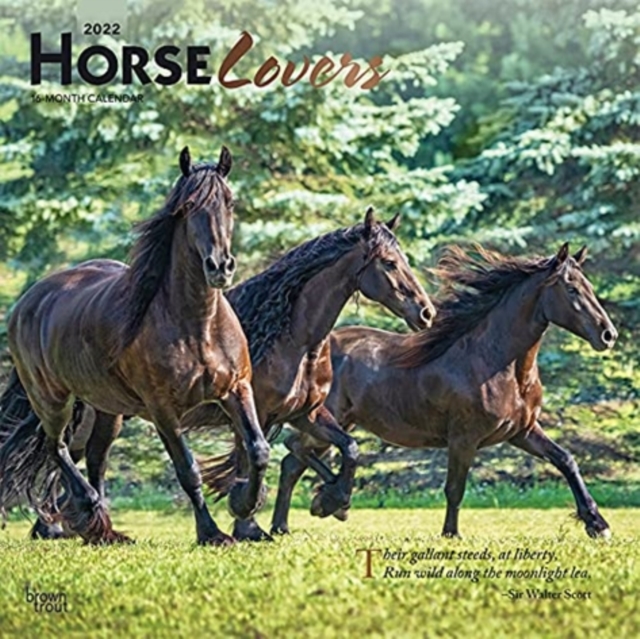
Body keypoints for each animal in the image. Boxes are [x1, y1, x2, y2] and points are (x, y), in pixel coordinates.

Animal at [0, 146, 270, 545]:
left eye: (230, 202)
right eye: (188, 206)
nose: (220, 266)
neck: (198, 325)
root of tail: (28, 302)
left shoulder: (237, 389)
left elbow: (258, 449)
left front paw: (243, 503)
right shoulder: (163, 410)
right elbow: (187, 470)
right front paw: (211, 532)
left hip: (106, 409)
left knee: (95, 458)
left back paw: (104, 530)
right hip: (52, 399)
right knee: (58, 448)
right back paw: (88, 510)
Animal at [4, 208, 436, 542]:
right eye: (389, 263)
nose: (426, 312)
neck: (293, 337)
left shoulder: (305, 413)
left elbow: (350, 448)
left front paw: (333, 501)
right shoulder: (256, 413)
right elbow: (248, 462)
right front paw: (247, 521)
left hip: (108, 415)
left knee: (85, 461)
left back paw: (76, 525)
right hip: (75, 413)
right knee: (60, 455)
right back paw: (66, 523)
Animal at [270, 243, 618, 538]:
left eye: (588, 286)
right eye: (571, 288)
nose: (608, 335)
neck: (497, 364)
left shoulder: (523, 431)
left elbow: (566, 460)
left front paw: (597, 524)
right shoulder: (464, 437)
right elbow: (455, 488)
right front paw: (451, 534)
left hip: (336, 425)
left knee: (292, 462)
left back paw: (283, 526)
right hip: (327, 422)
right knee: (295, 451)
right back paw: (329, 503)